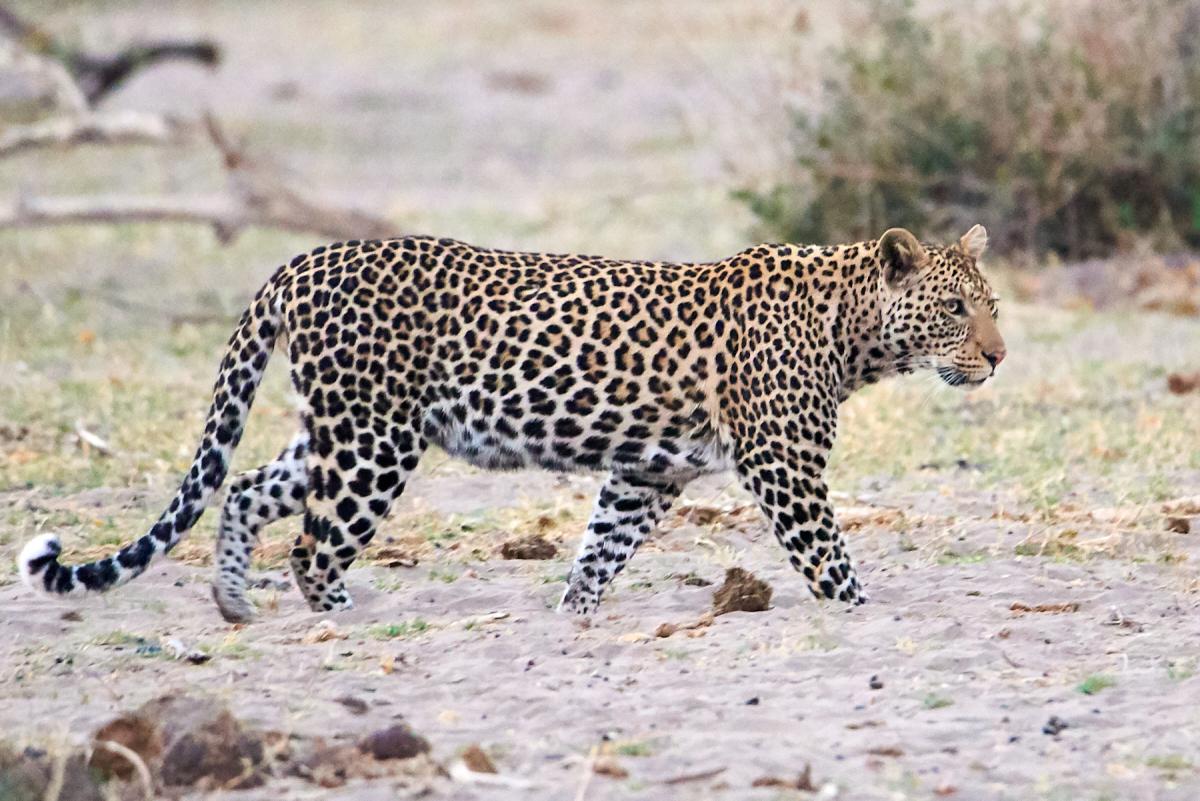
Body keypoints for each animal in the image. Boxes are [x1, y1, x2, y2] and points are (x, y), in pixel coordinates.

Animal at [18, 224, 1005, 622]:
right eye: (956, 309)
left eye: (991, 306)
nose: (998, 358)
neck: (853, 329)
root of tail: (299, 261)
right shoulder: (784, 466)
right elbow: (830, 560)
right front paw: (864, 612)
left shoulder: (648, 470)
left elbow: (602, 546)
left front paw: (573, 615)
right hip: (375, 441)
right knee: (312, 546)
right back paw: (343, 615)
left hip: (343, 428)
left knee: (251, 488)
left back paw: (233, 600)